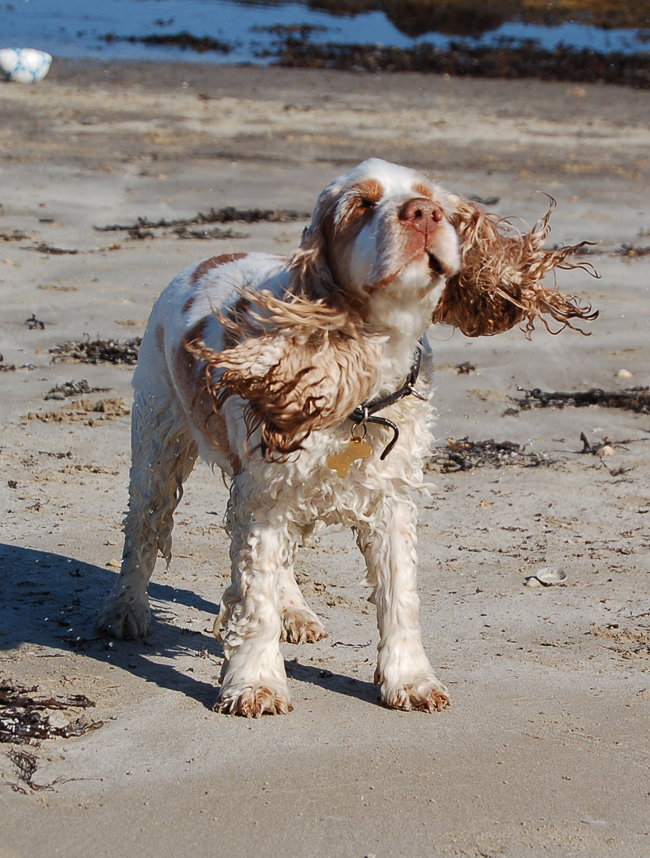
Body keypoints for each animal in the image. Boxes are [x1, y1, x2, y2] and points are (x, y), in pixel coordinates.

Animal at [95, 159, 592, 716]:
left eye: (432, 198)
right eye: (361, 205)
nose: (423, 213)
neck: (362, 381)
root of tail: (206, 258)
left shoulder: (391, 498)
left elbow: (399, 597)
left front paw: (410, 680)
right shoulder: (264, 493)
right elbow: (254, 595)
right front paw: (254, 684)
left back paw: (296, 614)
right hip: (157, 436)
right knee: (143, 527)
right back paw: (125, 611)